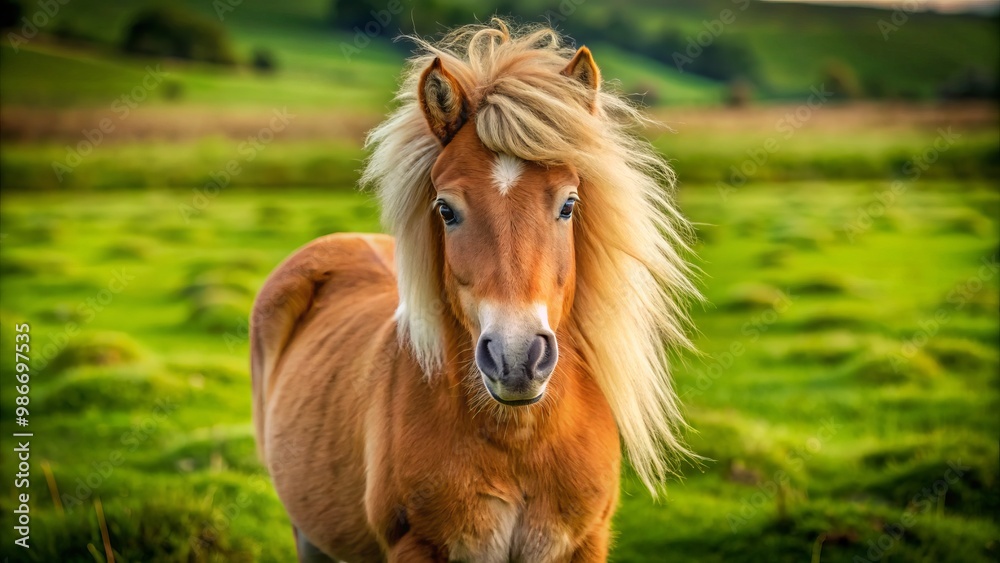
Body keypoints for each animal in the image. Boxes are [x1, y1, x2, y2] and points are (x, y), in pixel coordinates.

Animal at [250, 19, 699, 562]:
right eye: (446, 209)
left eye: (568, 204)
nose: (517, 358)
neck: (519, 444)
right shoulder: (416, 546)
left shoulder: (584, 543)